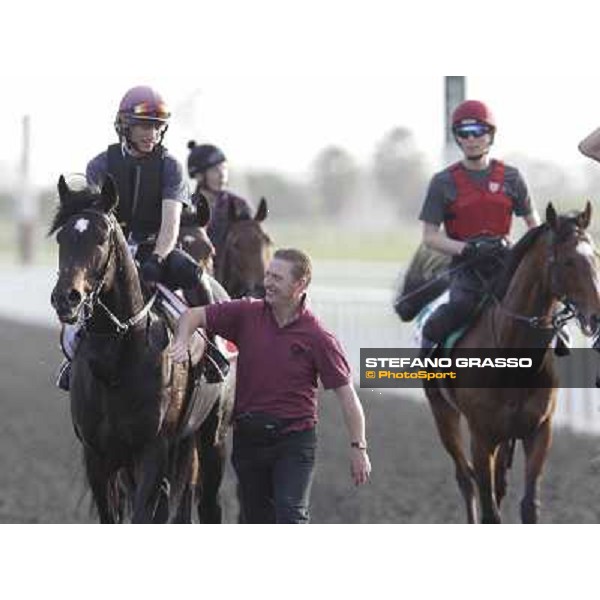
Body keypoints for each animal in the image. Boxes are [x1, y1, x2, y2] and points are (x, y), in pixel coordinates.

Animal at [48, 176, 227, 524]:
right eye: (62, 237)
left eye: (102, 238)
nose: (67, 298)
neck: (115, 361)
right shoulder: (98, 457)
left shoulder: (152, 451)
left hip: (213, 437)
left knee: (208, 504)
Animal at [424, 204, 600, 524]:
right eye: (568, 261)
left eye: (595, 255)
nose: (596, 316)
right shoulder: (481, 436)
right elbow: (489, 510)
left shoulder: (539, 430)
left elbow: (529, 505)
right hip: (442, 412)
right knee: (465, 478)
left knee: (497, 484)